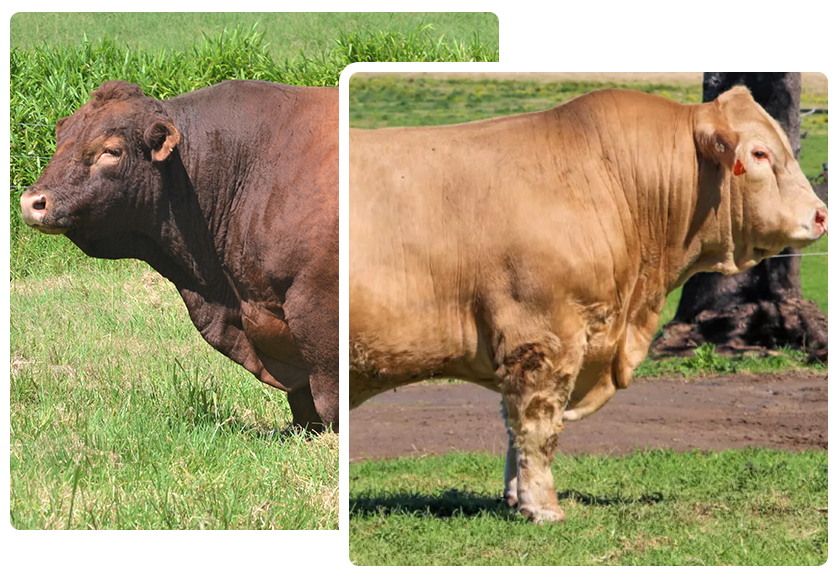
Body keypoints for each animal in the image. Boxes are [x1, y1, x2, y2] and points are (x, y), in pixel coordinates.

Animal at [20, 80, 338, 433]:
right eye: (61, 139)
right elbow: (303, 401)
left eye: (111, 150)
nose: (33, 202)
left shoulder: (318, 306)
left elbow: (328, 394)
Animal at [348, 86, 827, 523]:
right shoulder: (543, 335)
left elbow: (510, 425)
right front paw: (543, 508)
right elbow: (536, 423)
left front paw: (514, 497)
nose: (821, 214)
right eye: (760, 153)